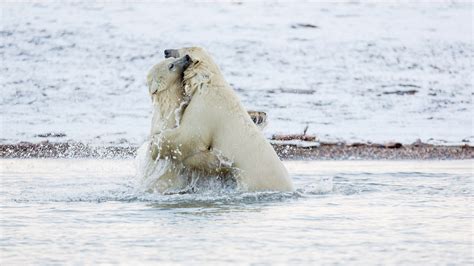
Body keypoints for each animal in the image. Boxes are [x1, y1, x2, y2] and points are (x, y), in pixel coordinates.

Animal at [154, 46, 294, 191]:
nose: (166, 51)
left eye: (181, 51)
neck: (208, 82)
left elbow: (189, 136)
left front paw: (155, 144)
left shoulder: (205, 106)